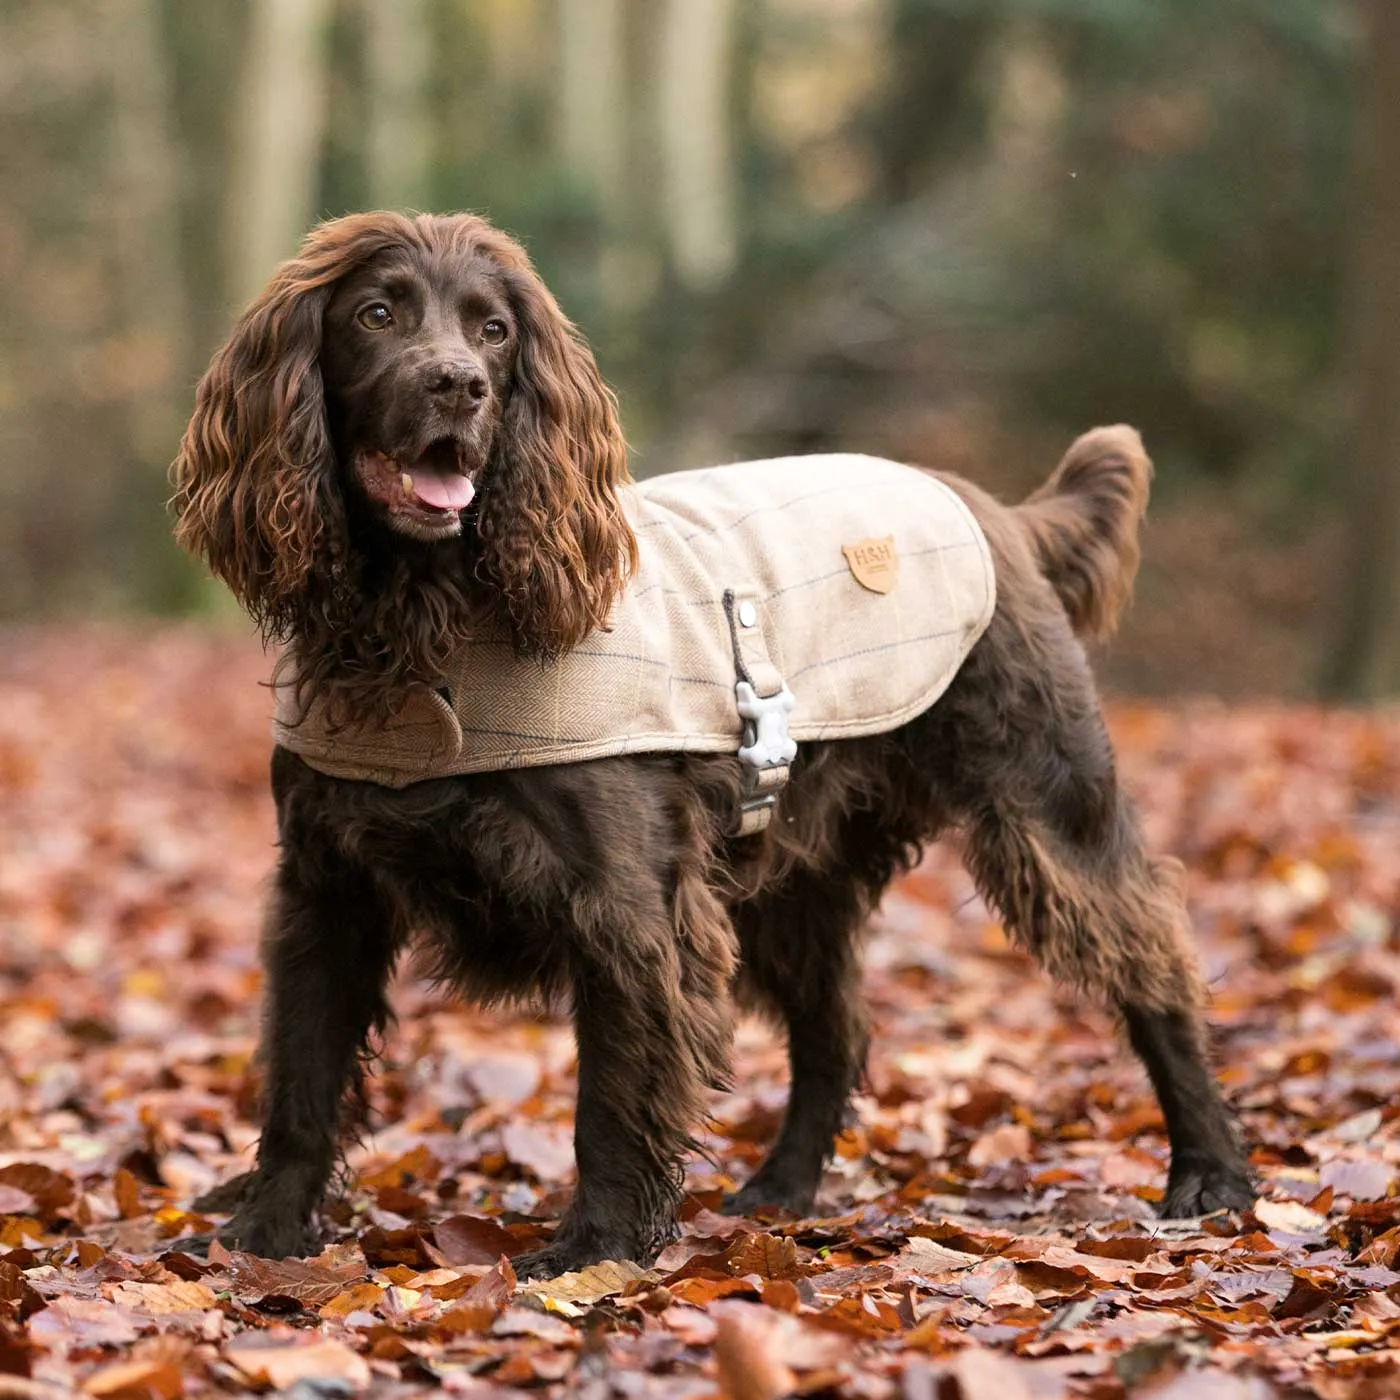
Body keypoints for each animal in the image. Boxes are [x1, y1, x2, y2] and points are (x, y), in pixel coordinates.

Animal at [169, 210, 1254, 1282]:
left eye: (494, 332)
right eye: (377, 314)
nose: (458, 384)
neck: (425, 620)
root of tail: (998, 512)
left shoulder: (628, 908)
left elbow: (612, 1099)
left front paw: (596, 1251)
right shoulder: (326, 889)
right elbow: (300, 1078)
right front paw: (264, 1235)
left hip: (1049, 805)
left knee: (1152, 963)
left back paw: (1210, 1173)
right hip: (791, 881)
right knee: (836, 1031)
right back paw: (781, 1189)